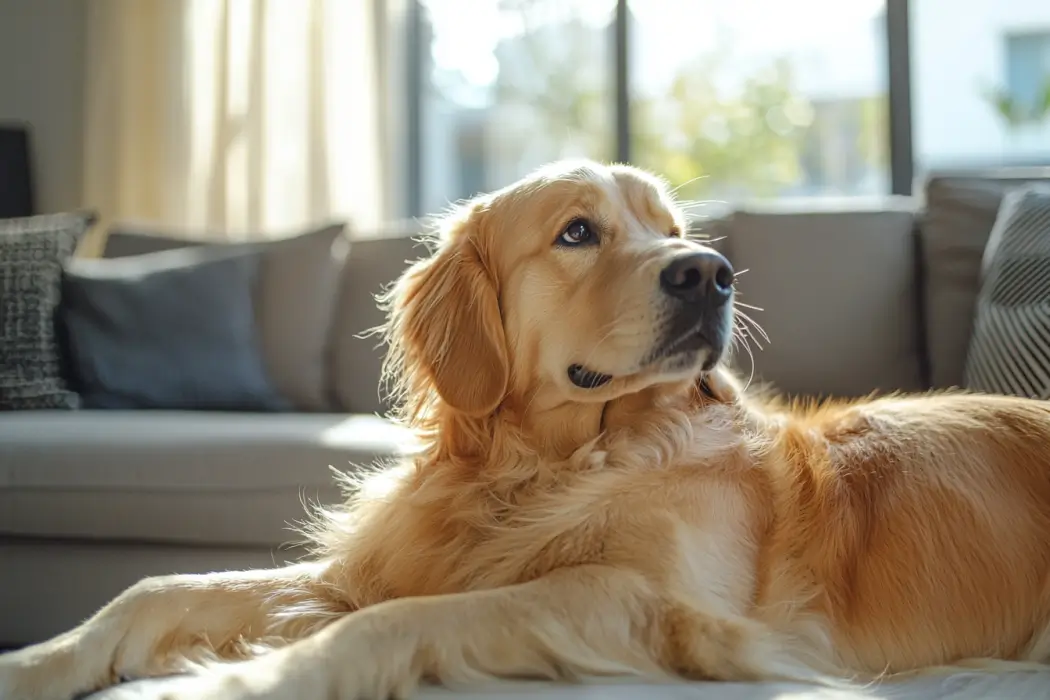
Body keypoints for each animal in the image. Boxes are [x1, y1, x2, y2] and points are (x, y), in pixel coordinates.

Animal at [2, 160, 1050, 700]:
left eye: (673, 228)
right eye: (577, 232)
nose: (711, 274)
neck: (542, 465)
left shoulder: (658, 603)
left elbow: (409, 619)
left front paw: (240, 682)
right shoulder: (371, 567)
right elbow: (156, 588)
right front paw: (37, 664)